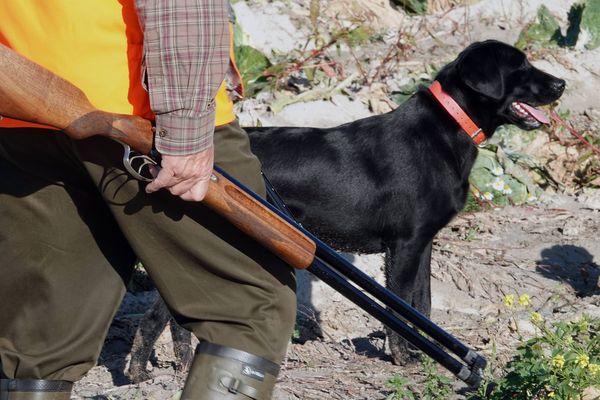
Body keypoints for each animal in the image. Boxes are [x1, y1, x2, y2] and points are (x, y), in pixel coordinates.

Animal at [126, 39, 564, 380]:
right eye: (519, 66)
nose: (561, 83)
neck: (447, 130)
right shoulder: (405, 245)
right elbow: (401, 308)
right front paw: (403, 358)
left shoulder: (423, 244)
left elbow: (422, 305)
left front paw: (425, 353)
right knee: (163, 315)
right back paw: (147, 370)